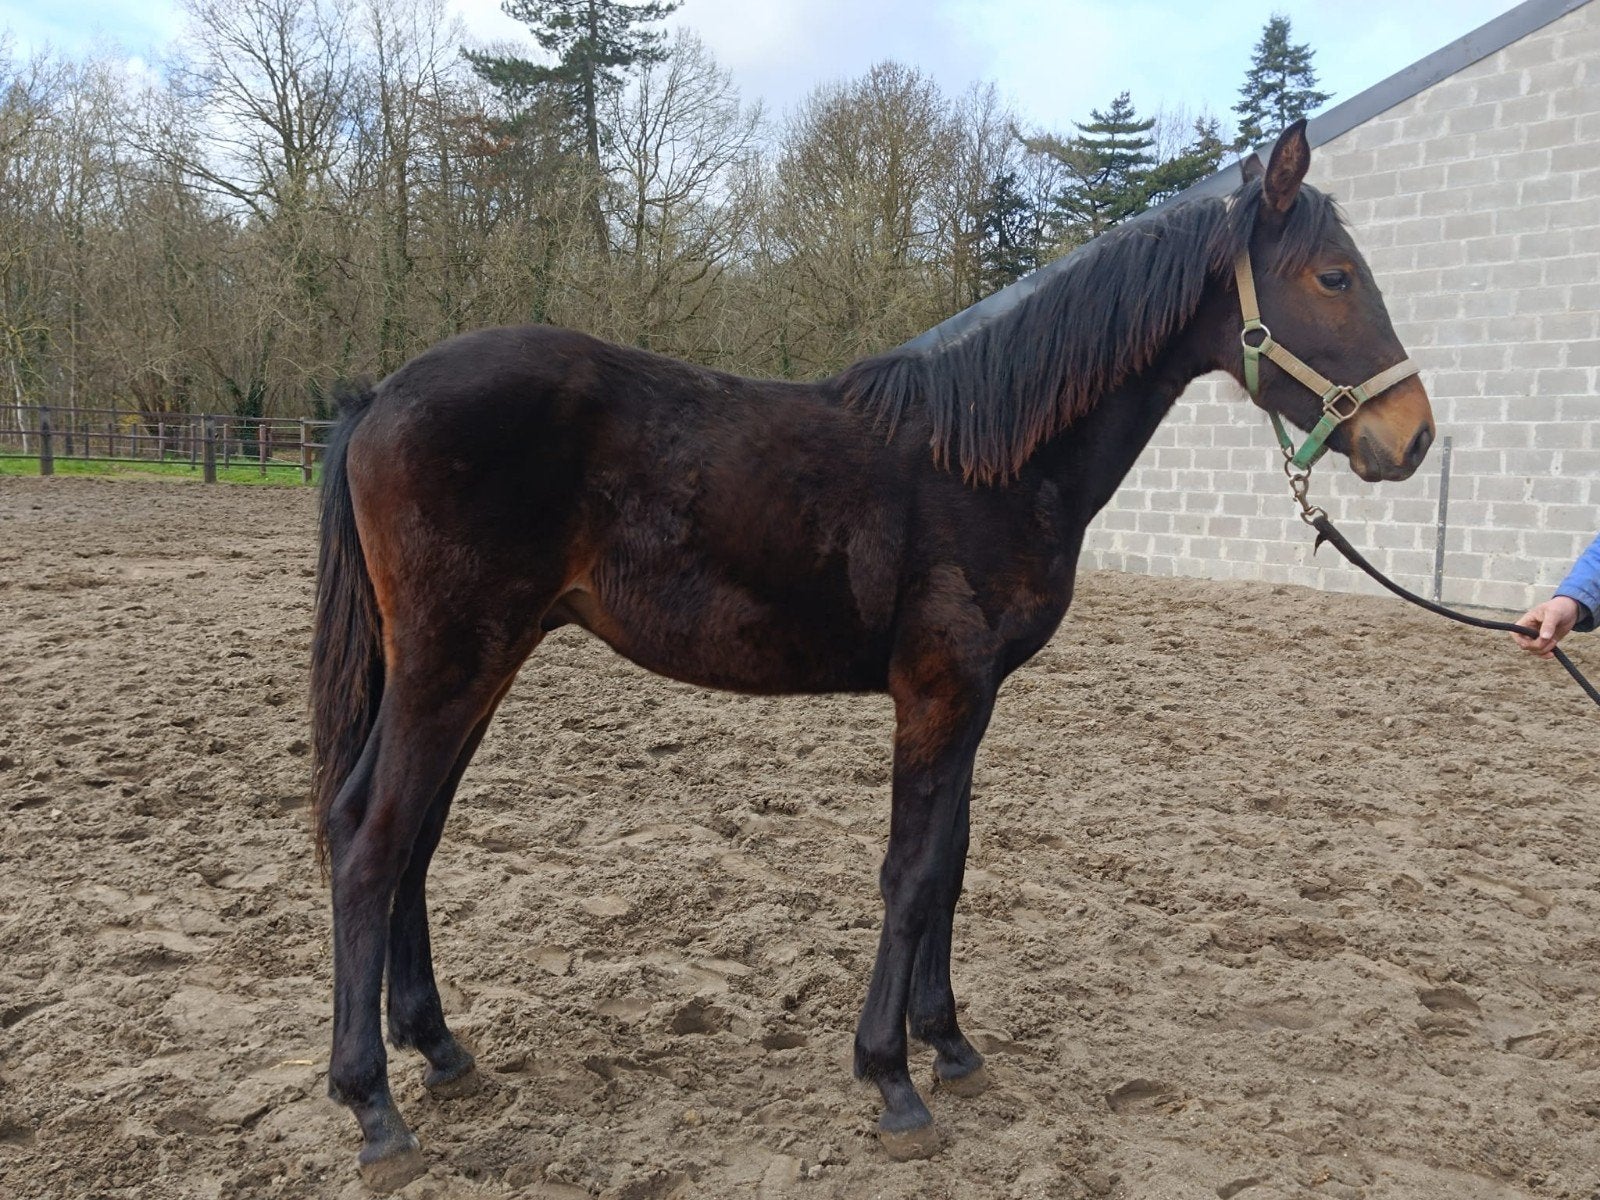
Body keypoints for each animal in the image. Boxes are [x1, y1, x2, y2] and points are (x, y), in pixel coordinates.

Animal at [308, 120, 1434, 1188]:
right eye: (1334, 277)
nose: (1413, 437)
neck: (987, 459)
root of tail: (375, 397)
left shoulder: (976, 697)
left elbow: (951, 865)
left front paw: (950, 1045)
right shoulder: (937, 691)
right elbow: (910, 869)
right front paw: (892, 1081)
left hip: (476, 666)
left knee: (413, 836)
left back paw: (439, 1049)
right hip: (452, 664)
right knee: (371, 837)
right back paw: (374, 1108)